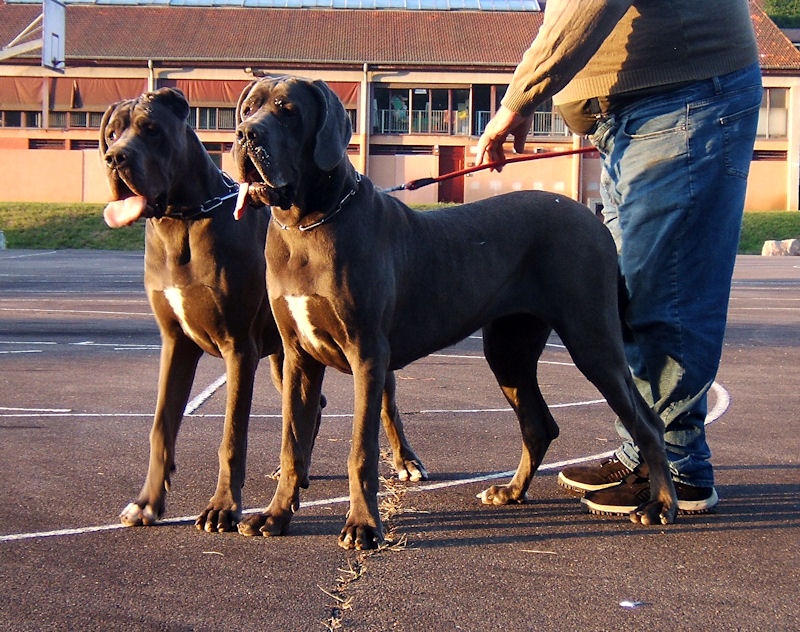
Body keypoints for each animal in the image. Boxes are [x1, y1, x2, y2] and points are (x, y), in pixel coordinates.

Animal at [101, 87, 428, 532]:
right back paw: (298, 472)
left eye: (151, 129)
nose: (114, 157)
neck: (183, 222)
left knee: (387, 403)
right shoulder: (176, 343)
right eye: (111, 133)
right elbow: (161, 427)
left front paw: (223, 507)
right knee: (314, 406)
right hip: (283, 354)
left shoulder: (238, 346)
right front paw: (147, 503)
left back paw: (406, 460)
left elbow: (232, 435)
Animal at [234, 76, 680, 552]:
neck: (307, 223)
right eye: (248, 109)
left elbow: (361, 449)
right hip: (509, 350)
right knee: (538, 425)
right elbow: (292, 443)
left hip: (591, 338)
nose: (244, 135)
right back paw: (511, 492)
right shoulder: (298, 357)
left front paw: (363, 526)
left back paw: (661, 505)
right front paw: (275, 515)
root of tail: (591, 218)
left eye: (288, 110)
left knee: (649, 421)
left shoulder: (366, 354)